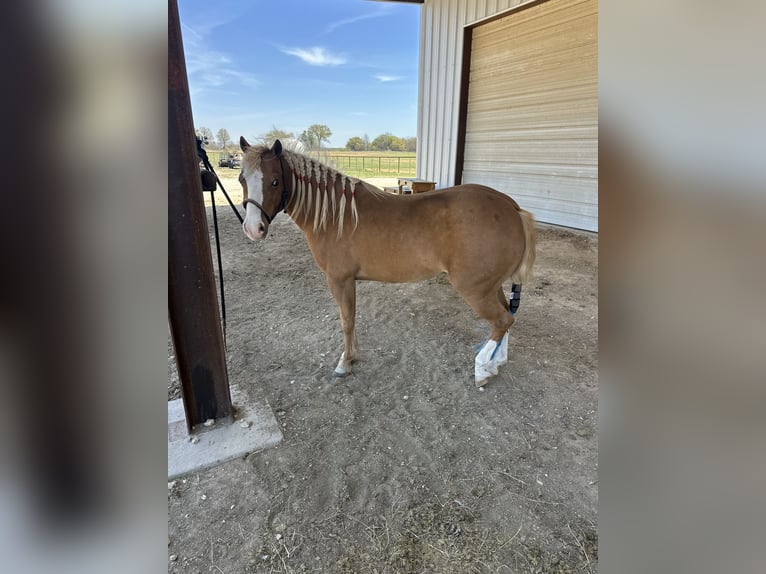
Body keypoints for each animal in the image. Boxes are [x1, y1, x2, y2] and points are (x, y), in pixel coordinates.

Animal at [238, 138, 536, 386]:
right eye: (242, 179)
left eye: (275, 181)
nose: (253, 229)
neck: (335, 215)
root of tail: (511, 207)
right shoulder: (347, 281)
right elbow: (351, 318)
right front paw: (352, 355)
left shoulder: (339, 280)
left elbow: (346, 320)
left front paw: (345, 362)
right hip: (491, 286)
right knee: (506, 317)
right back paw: (496, 363)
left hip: (475, 289)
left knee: (502, 321)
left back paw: (482, 369)